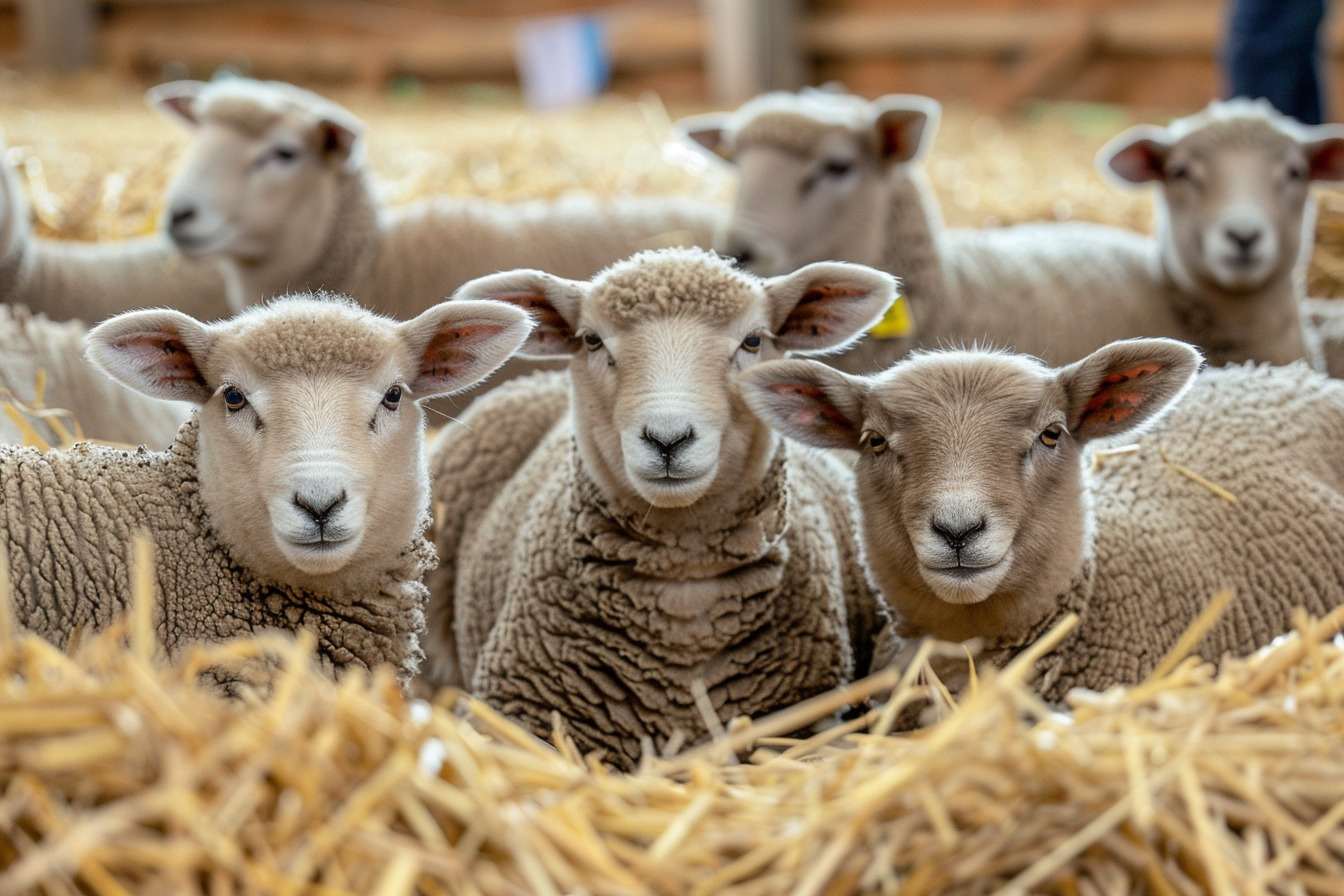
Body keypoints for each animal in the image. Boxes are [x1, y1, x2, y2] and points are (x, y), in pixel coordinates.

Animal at [424, 248, 895, 767]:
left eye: (753, 340)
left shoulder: (808, 720)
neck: (683, 599)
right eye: (592, 340)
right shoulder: (510, 716)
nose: (668, 439)